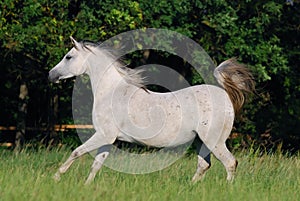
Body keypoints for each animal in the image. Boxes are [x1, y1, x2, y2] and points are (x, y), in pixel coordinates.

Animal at [48, 36, 254, 184]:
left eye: (68, 57)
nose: (51, 75)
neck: (111, 92)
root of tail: (224, 95)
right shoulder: (108, 139)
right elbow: (96, 165)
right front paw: (86, 186)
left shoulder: (103, 135)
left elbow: (76, 152)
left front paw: (56, 177)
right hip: (200, 141)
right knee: (204, 165)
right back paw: (189, 187)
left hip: (214, 141)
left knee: (230, 163)